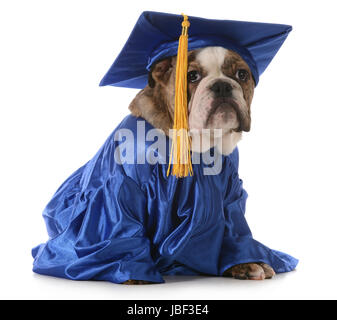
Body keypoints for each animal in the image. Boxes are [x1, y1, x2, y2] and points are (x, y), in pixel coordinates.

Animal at [126, 45, 276, 282]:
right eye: (192, 76)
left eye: (242, 74)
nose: (222, 85)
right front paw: (134, 271)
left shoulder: (230, 196)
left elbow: (234, 231)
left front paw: (247, 263)